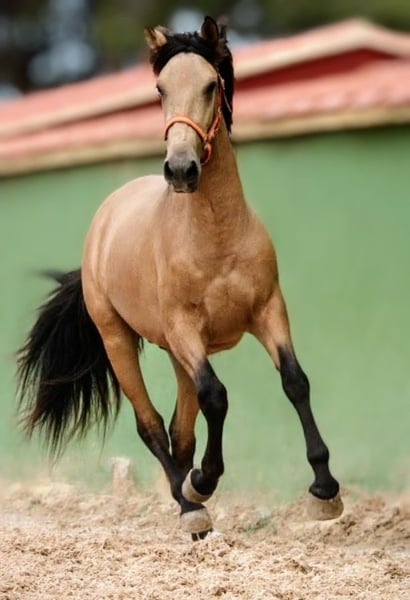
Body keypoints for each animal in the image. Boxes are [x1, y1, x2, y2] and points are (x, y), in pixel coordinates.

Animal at [17, 16, 343, 539]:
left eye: (211, 84)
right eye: (160, 88)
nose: (181, 169)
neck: (215, 237)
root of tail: (105, 219)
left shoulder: (269, 311)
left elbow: (295, 382)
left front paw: (325, 491)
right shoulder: (185, 328)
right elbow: (218, 396)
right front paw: (203, 483)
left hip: (175, 352)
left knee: (180, 428)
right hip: (121, 340)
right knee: (151, 423)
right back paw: (191, 505)